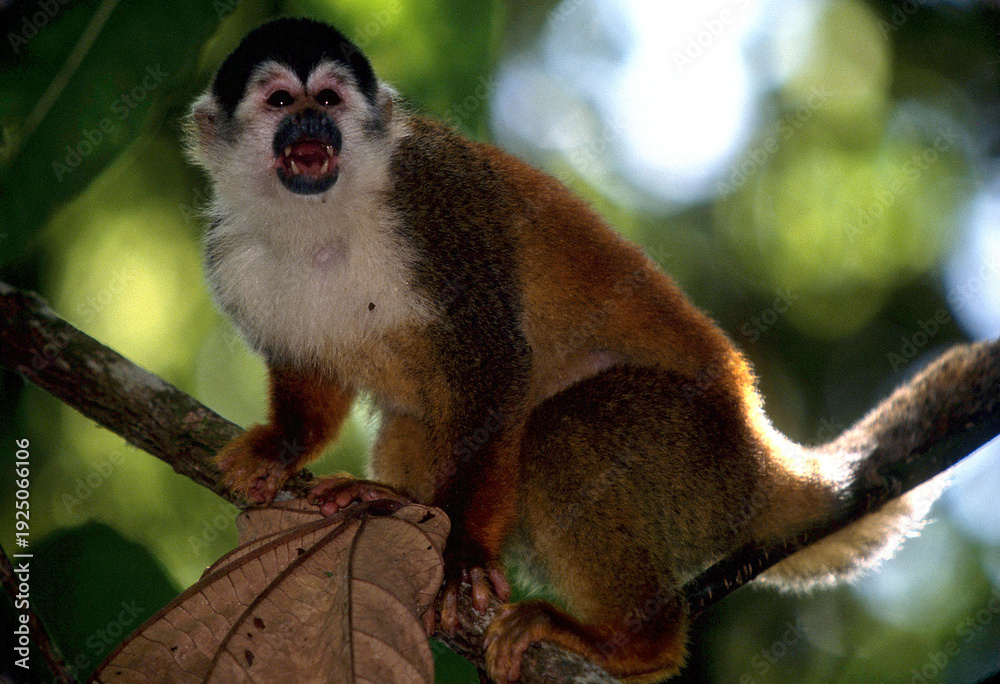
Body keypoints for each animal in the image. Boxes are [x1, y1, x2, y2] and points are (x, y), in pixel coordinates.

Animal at [184, 17, 1000, 683]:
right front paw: (285, 445)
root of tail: (761, 451)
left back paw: (633, 643)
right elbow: (311, 369)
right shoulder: (233, 254)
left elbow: (498, 364)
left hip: (696, 455)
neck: (320, 212)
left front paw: (458, 552)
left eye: (328, 98)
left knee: (566, 431)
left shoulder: (436, 204)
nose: (311, 126)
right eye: (281, 103)